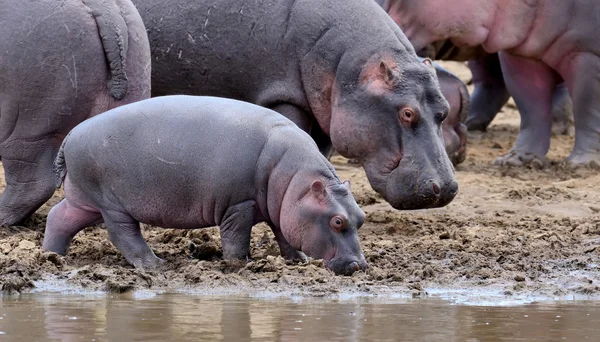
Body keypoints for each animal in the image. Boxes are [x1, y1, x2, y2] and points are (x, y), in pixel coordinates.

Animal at [42, 95, 368, 276]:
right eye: (337, 221)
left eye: (361, 217)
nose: (360, 265)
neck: (296, 183)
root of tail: (69, 136)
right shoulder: (239, 204)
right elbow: (236, 238)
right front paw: (240, 264)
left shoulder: (283, 209)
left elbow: (285, 235)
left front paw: (299, 260)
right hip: (111, 204)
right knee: (124, 235)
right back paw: (156, 265)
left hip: (86, 200)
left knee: (59, 217)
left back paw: (52, 257)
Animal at [132, 0, 460, 210]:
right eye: (407, 112)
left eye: (443, 111)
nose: (445, 188)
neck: (352, 68)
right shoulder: (284, 98)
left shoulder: (326, 118)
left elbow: (319, 152)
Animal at [378, 0, 596, 168]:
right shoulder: (517, 49)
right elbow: (531, 108)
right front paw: (514, 161)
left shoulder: (587, 53)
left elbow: (587, 108)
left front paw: (581, 164)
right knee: (489, 83)